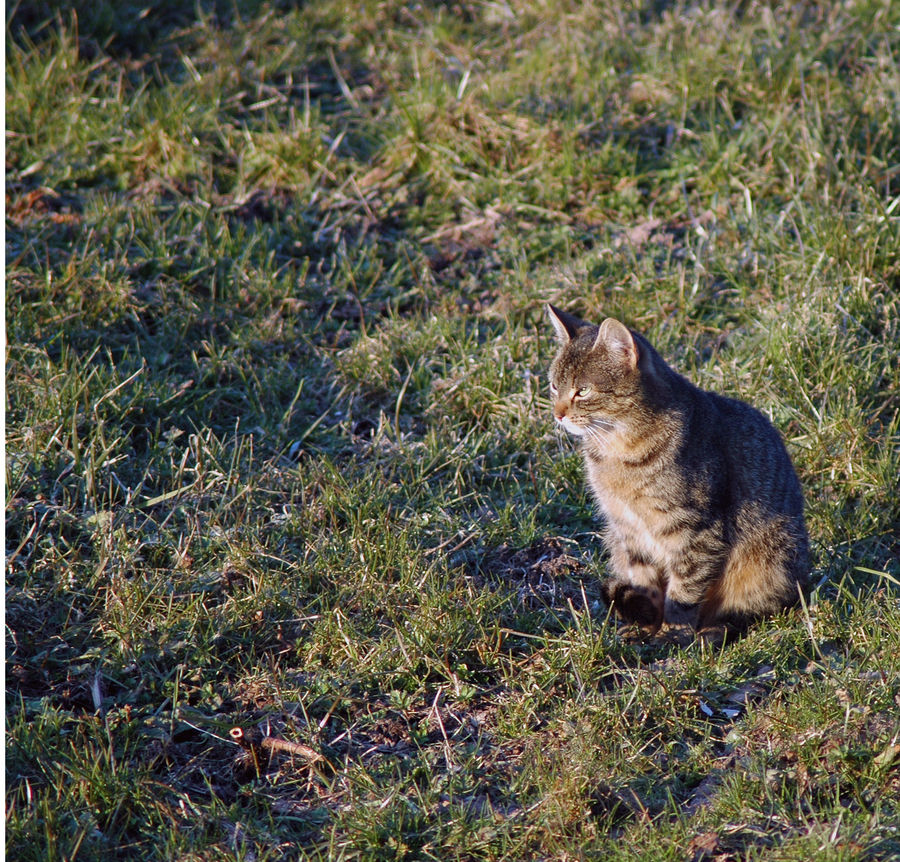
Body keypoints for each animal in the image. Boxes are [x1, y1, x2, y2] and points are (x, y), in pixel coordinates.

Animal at [544, 304, 812, 636]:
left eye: (582, 391)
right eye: (554, 385)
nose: (557, 414)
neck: (617, 451)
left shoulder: (696, 531)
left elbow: (684, 591)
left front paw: (672, 634)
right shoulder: (627, 528)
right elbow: (644, 582)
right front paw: (646, 623)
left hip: (773, 556)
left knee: (756, 608)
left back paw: (714, 631)